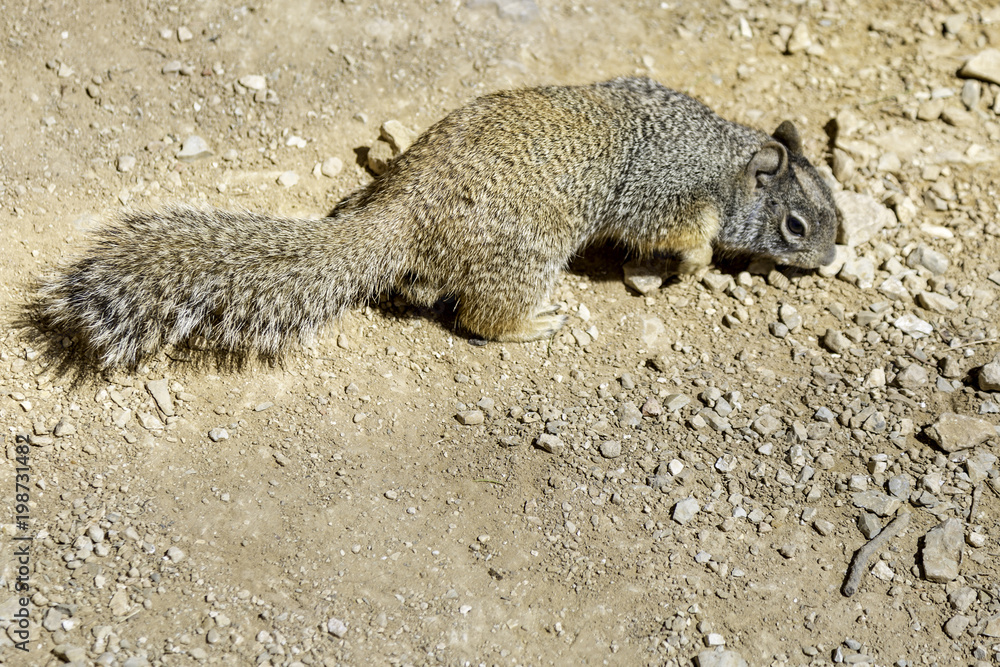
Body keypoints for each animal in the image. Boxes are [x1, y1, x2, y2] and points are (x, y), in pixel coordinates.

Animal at [36, 76, 838, 369]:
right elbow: (678, 236)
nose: (831, 260)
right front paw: (697, 265)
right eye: (798, 226)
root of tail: (398, 212)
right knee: (479, 316)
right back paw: (533, 323)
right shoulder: (669, 193)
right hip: (525, 255)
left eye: (836, 201)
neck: (726, 158)